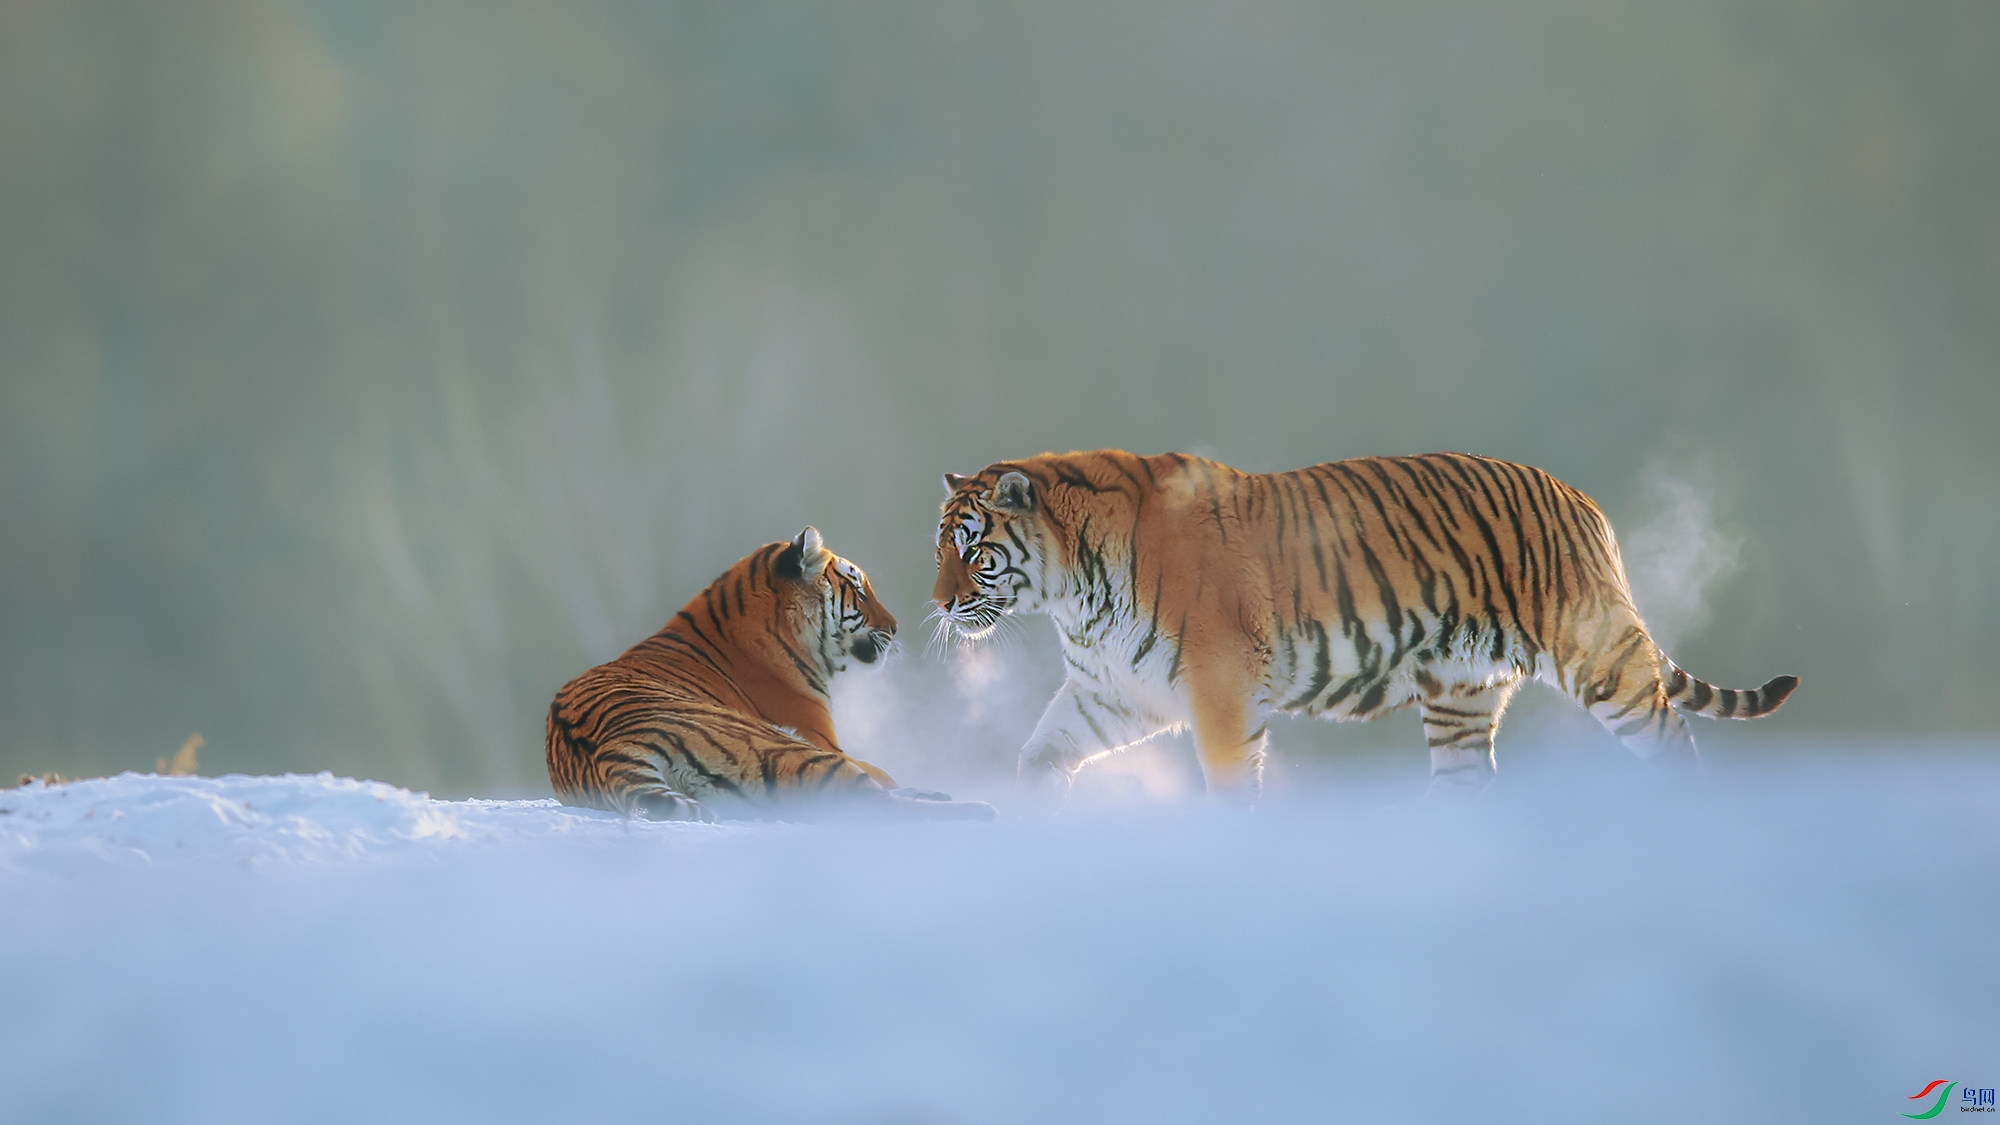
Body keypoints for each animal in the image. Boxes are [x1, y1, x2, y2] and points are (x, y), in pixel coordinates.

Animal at [548, 524, 992, 824]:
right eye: (860, 590)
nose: (896, 627)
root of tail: (610, 747)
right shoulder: (823, 739)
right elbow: (884, 775)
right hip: (789, 748)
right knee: (877, 807)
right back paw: (979, 808)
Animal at [932, 448, 1800, 796]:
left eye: (973, 551)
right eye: (939, 545)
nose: (937, 603)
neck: (1072, 593)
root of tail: (1582, 501)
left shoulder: (1219, 689)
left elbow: (1230, 783)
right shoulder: (1113, 691)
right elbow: (1039, 755)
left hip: (1602, 661)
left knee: (1673, 740)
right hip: (1458, 693)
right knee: (1465, 784)